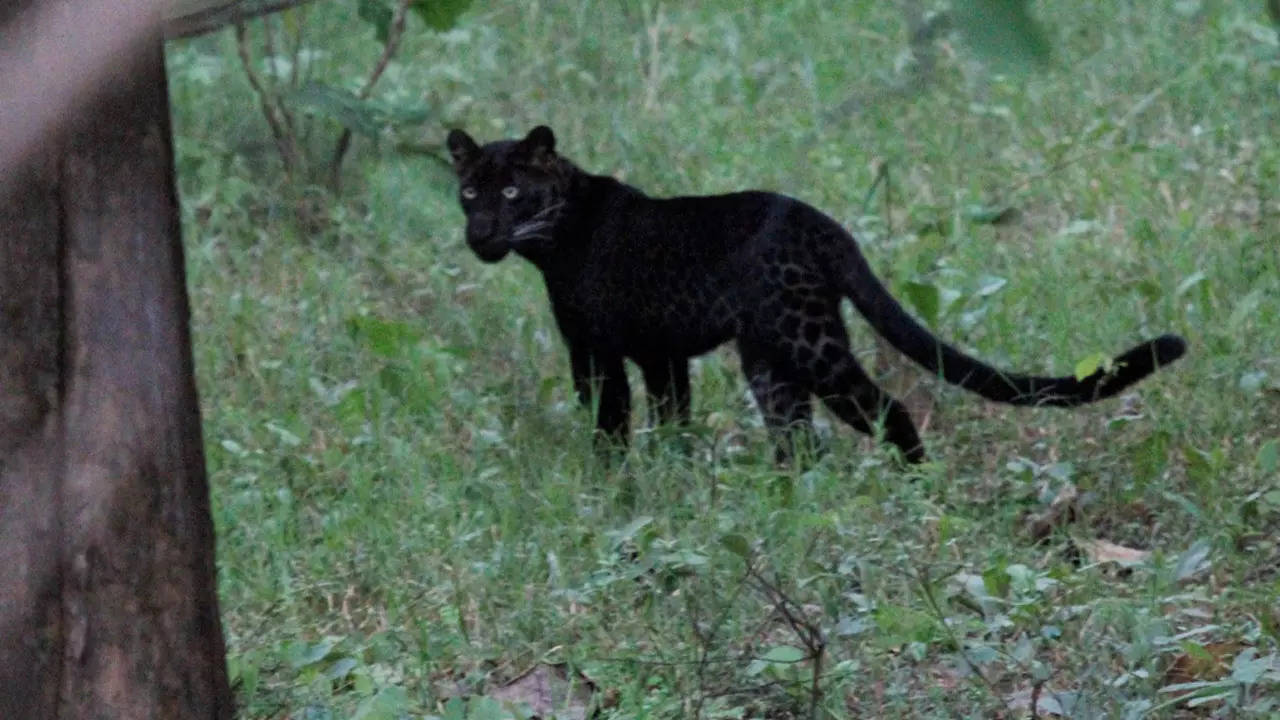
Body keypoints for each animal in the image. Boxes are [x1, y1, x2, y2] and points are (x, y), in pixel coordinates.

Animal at [445, 124, 1182, 458]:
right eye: (470, 192)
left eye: (511, 193)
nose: (480, 233)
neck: (554, 241)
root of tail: (826, 226)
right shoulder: (661, 353)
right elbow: (674, 415)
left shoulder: (596, 351)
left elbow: (611, 423)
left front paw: (613, 486)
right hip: (768, 361)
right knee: (801, 439)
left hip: (808, 341)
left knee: (887, 410)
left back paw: (917, 485)